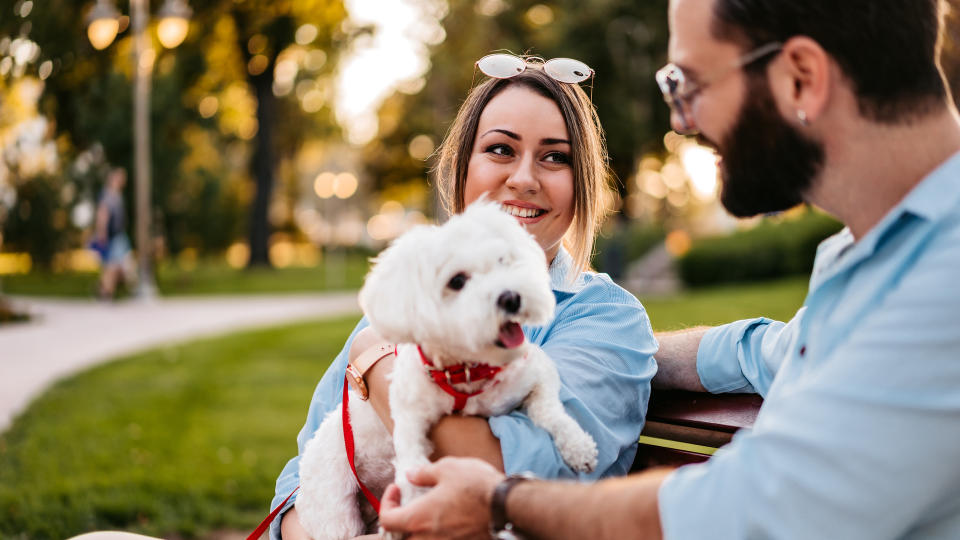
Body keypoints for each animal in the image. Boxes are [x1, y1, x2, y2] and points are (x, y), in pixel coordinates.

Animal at [296, 201, 600, 540]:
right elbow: (411, 464)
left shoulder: (537, 374)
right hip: (334, 510)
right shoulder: (408, 418)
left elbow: (550, 411)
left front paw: (578, 447)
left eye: (503, 261)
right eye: (457, 281)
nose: (511, 297)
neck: (466, 369)